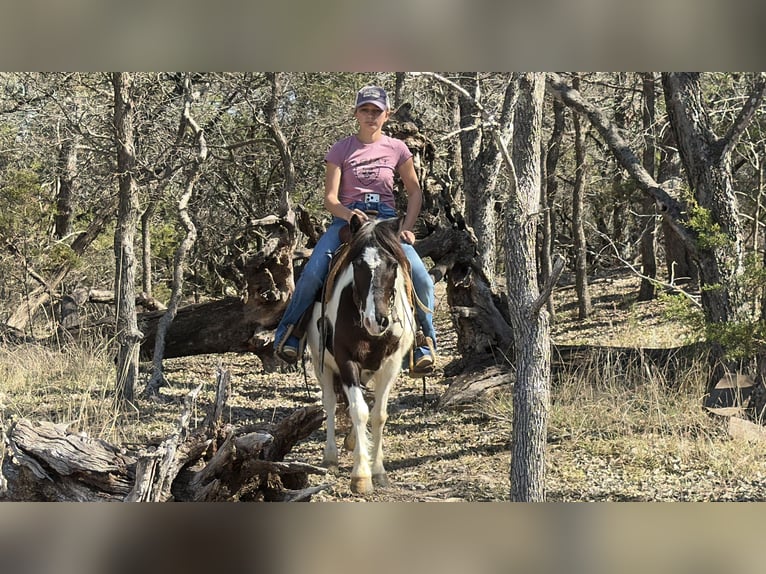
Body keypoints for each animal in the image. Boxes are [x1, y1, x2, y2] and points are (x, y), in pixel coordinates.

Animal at [305, 214, 416, 494]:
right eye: (357, 264)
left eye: (393, 264)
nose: (377, 320)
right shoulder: (346, 362)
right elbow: (359, 410)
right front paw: (361, 476)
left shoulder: (391, 365)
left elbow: (378, 415)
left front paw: (378, 470)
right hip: (323, 366)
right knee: (330, 404)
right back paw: (331, 456)